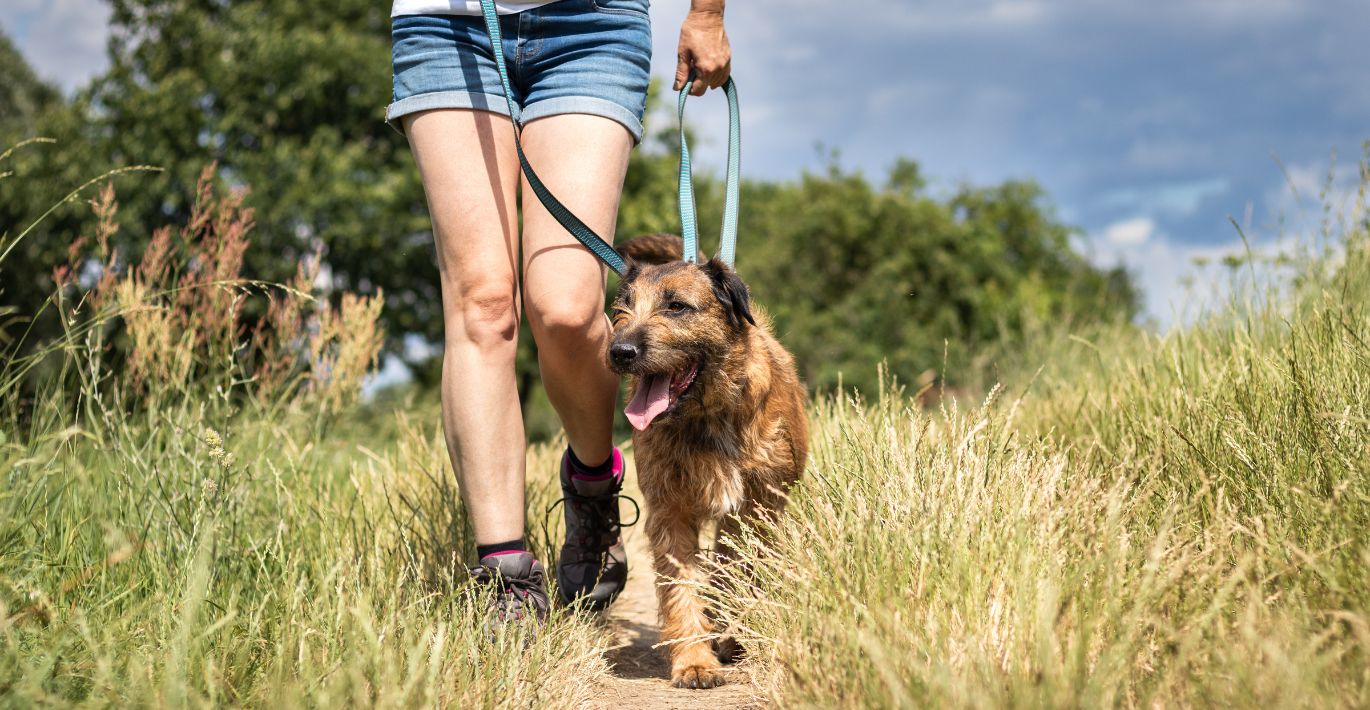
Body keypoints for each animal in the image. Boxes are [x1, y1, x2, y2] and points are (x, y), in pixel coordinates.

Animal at [608, 237, 805, 693]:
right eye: (623, 306)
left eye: (677, 306)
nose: (620, 352)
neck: (706, 416)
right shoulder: (670, 512)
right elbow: (681, 586)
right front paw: (695, 662)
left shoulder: (758, 507)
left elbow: (741, 570)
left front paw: (730, 634)